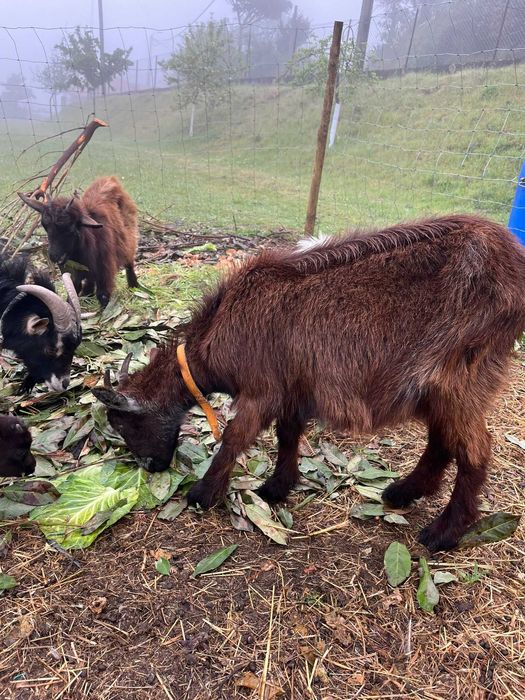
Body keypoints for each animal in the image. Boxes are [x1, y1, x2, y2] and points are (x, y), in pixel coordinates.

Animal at [19, 176, 139, 308]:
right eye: (45, 226)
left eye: (71, 229)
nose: (54, 256)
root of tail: (111, 179)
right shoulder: (76, 270)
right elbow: (74, 289)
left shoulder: (105, 270)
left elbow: (103, 294)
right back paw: (87, 294)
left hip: (129, 238)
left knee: (129, 262)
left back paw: (134, 286)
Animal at [93, 214, 525, 552]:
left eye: (125, 423)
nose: (151, 467)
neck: (222, 327)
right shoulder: (292, 387)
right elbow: (288, 434)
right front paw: (276, 487)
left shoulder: (262, 389)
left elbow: (235, 437)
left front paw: (203, 494)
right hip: (441, 385)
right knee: (442, 440)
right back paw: (402, 492)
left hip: (460, 372)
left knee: (475, 450)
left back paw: (443, 533)